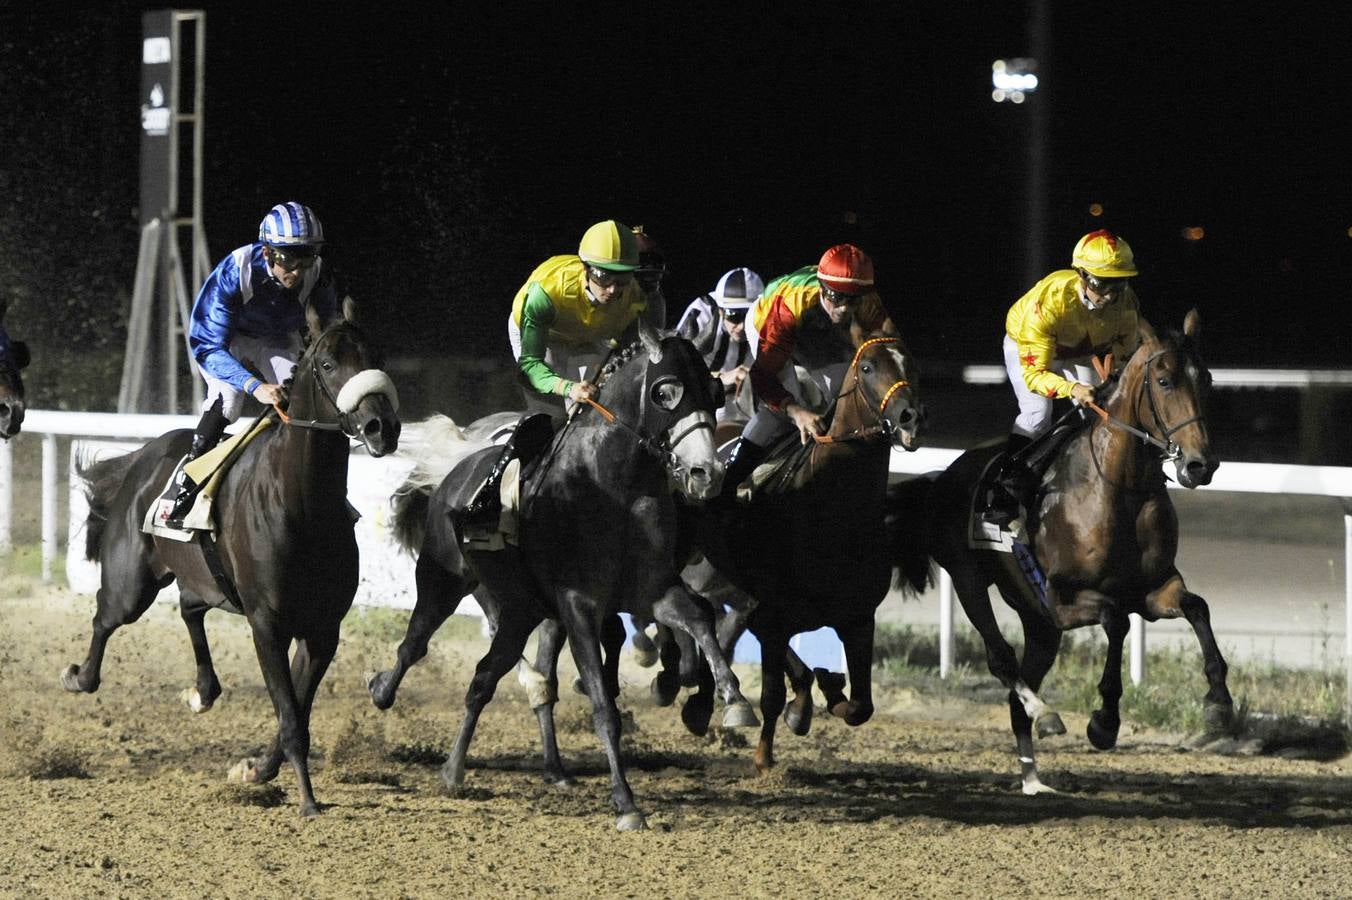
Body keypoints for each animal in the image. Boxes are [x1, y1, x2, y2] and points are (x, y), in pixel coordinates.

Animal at [62, 300, 397, 810]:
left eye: (376, 355)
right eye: (326, 364)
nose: (383, 427)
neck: (302, 504)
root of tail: (148, 453)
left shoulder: (323, 630)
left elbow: (296, 710)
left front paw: (258, 769)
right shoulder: (267, 625)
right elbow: (290, 715)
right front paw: (307, 800)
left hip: (202, 576)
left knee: (188, 606)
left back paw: (203, 691)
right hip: (131, 583)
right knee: (105, 616)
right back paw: (79, 677)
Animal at [373, 322, 762, 827]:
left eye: (714, 392)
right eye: (666, 392)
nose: (705, 473)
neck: (613, 488)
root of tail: (457, 470)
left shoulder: (651, 589)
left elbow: (697, 617)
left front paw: (734, 702)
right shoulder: (578, 606)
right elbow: (602, 703)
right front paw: (626, 803)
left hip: (519, 611)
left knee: (483, 679)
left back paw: (455, 770)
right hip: (444, 582)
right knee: (414, 645)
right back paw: (382, 690)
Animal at [892, 310, 1233, 794]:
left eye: (1205, 379)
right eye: (1165, 381)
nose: (1200, 465)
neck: (1118, 488)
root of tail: (944, 477)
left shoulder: (1153, 589)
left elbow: (1197, 607)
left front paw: (1219, 703)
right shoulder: (1061, 598)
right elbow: (1115, 620)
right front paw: (1104, 721)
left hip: (1039, 624)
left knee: (1018, 694)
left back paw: (1034, 779)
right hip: (971, 580)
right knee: (1002, 660)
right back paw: (1046, 715)